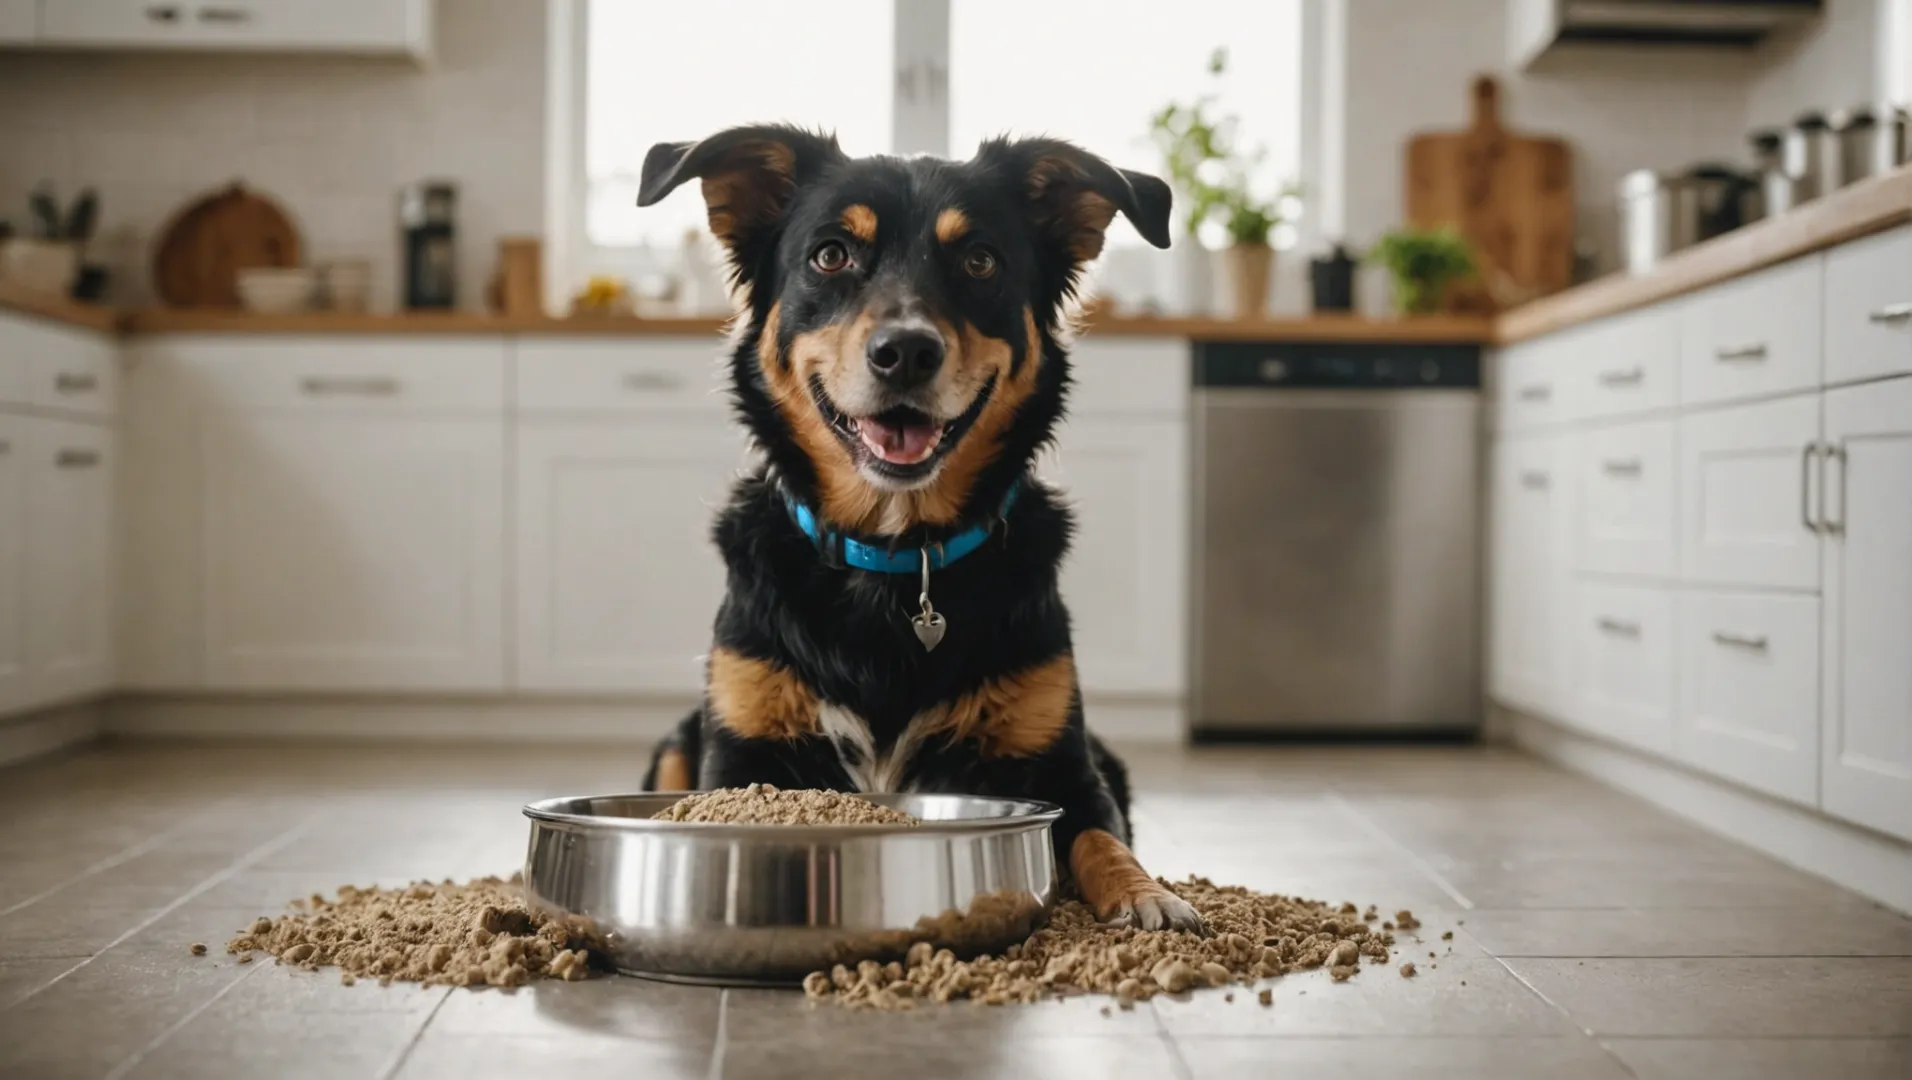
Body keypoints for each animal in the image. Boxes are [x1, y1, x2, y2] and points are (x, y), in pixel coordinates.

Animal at [642, 126, 1200, 928]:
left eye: (980, 261)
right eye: (831, 254)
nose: (906, 352)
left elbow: (1102, 837)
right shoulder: (742, 750)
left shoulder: (1067, 766)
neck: (897, 555)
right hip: (677, 743)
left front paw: (1147, 893)